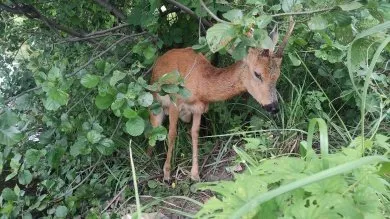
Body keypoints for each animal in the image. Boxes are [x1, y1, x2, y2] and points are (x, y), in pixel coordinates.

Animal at [150, 17, 296, 181]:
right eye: (257, 73)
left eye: (277, 75)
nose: (274, 107)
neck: (200, 84)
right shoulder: (175, 102)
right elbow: (172, 133)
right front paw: (167, 173)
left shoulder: (199, 109)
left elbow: (195, 133)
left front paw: (195, 174)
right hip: (155, 106)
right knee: (153, 131)